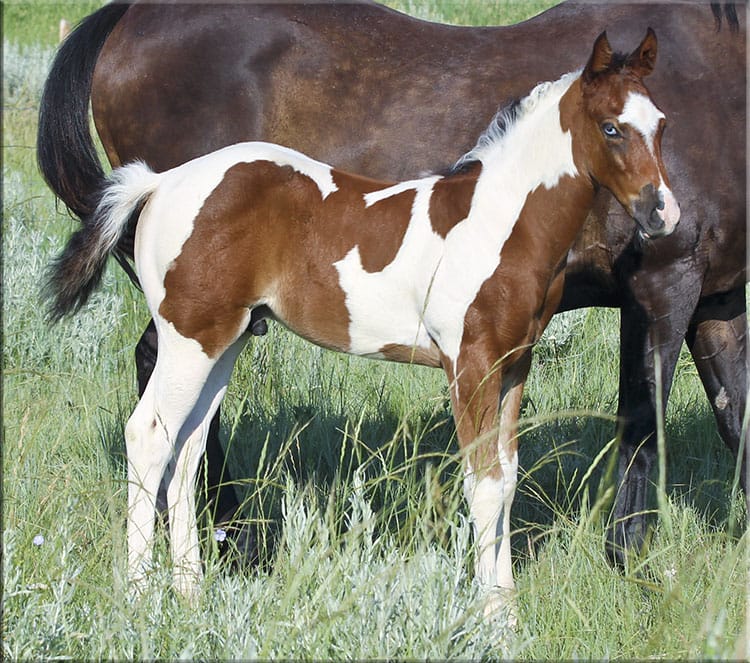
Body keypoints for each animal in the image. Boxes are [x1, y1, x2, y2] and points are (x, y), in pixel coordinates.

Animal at [50, 31, 680, 620]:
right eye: (610, 128)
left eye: (662, 125)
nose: (664, 213)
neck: (500, 222)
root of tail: (161, 183)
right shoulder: (469, 362)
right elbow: (483, 485)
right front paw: (492, 618)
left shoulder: (513, 363)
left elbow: (506, 479)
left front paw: (505, 604)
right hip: (188, 339)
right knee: (150, 436)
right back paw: (140, 598)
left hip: (222, 343)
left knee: (187, 452)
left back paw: (192, 594)